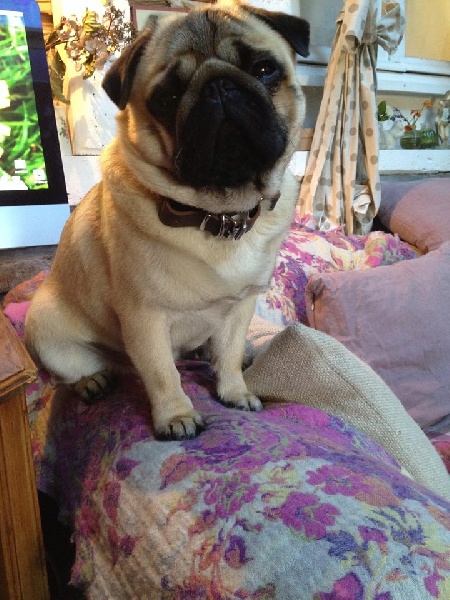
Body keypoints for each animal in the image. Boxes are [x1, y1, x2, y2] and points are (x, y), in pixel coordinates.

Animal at [25, 1, 309, 440]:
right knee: (70, 371)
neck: (218, 214)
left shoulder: (241, 306)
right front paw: (176, 415)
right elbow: (161, 374)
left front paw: (234, 392)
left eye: (264, 69)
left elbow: (228, 354)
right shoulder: (145, 318)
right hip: (47, 328)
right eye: (167, 97)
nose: (218, 87)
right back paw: (91, 381)